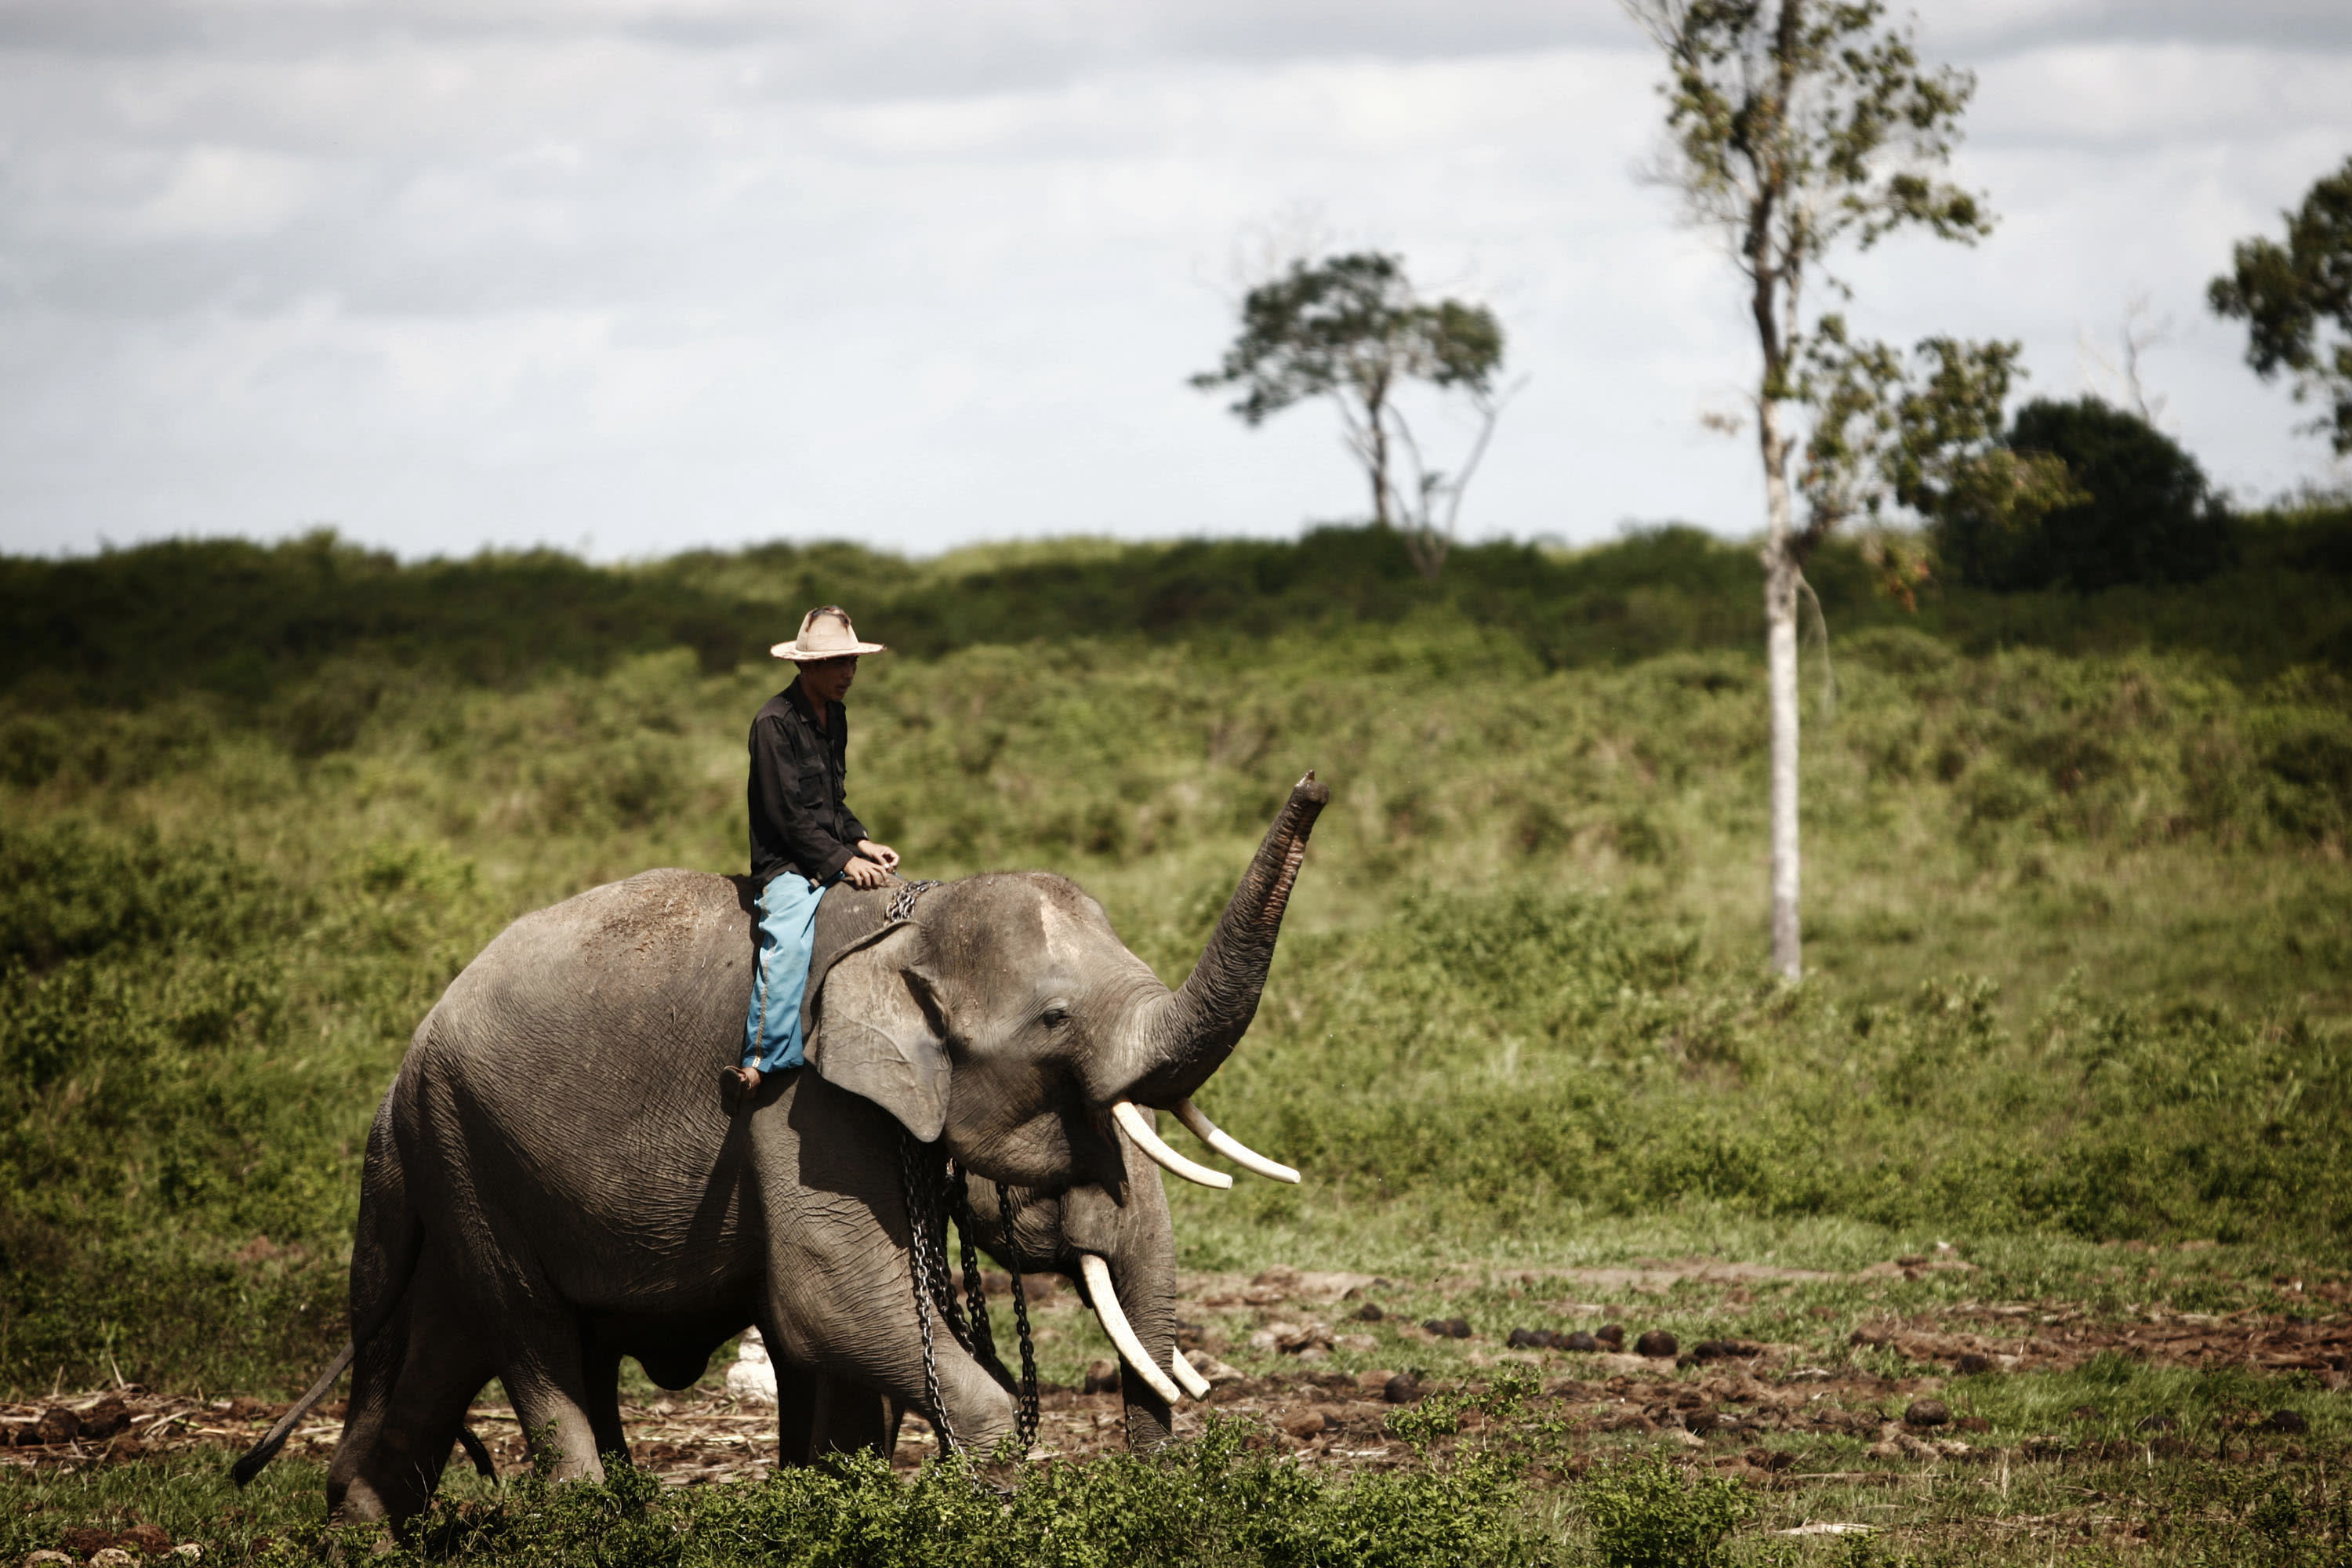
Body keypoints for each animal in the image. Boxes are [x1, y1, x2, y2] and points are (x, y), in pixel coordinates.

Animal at [248, 771, 1336, 1523]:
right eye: (1055, 1021)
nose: (1314, 783)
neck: (910, 920)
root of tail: (404, 1065)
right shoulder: (799, 1097)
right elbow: (828, 1293)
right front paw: (992, 1503)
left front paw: (831, 1496)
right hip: (466, 1142)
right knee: (530, 1332)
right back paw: (587, 1518)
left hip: (457, 1158)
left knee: (448, 1337)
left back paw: (366, 1522)